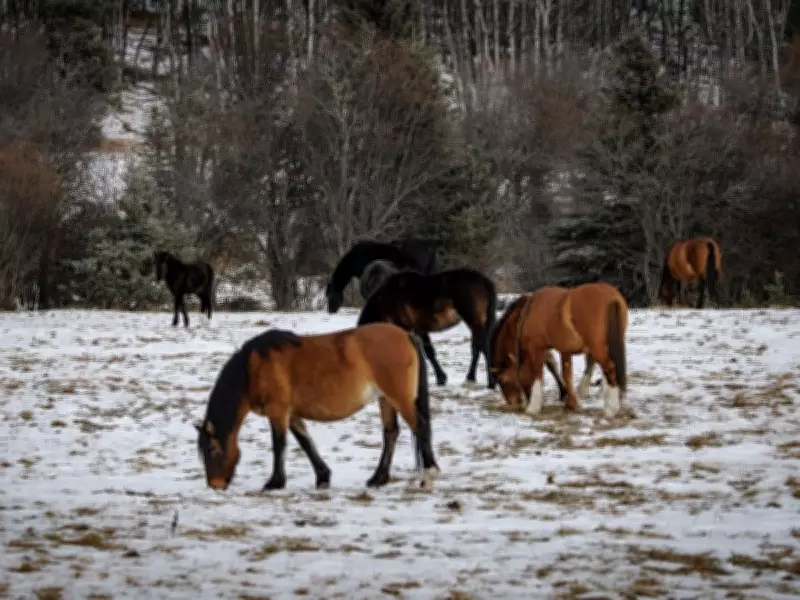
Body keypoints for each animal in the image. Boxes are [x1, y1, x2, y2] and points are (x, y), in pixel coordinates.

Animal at [195, 323, 439, 491]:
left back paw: (428, 476)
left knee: (420, 426)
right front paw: (322, 477)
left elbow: (279, 444)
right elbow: (305, 442)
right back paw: (378, 479)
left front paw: (275, 483)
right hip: (385, 399)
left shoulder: (278, 411)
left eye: (212, 450)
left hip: (398, 398)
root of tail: (406, 335)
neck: (252, 368)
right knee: (391, 433)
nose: (215, 485)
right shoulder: (292, 414)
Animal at [357, 268, 497, 389]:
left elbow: (427, 352)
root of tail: (484, 280)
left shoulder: (409, 328)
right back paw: (470, 378)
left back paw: (491, 383)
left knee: (483, 347)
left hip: (473, 320)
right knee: (476, 347)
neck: (386, 298)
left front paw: (440, 379)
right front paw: (440, 379)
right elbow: (428, 351)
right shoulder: (420, 329)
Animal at [491, 283, 628, 418]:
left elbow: (537, 373)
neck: (529, 311)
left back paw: (611, 408)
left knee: (609, 367)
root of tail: (611, 296)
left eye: (503, 380)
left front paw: (533, 407)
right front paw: (571, 404)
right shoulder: (564, 349)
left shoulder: (536, 347)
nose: (515, 402)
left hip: (597, 348)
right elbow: (566, 374)